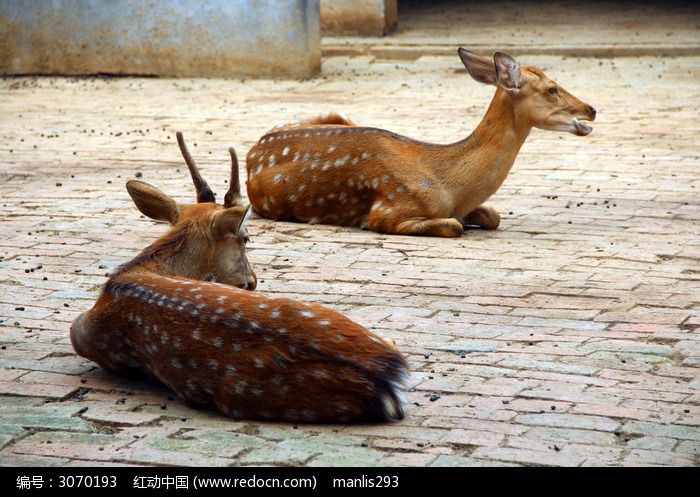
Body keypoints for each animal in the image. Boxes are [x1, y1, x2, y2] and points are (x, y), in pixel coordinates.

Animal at [245, 49, 596, 237]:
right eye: (552, 89)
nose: (591, 109)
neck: (451, 185)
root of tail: (250, 154)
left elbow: (493, 215)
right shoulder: (388, 210)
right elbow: (453, 225)